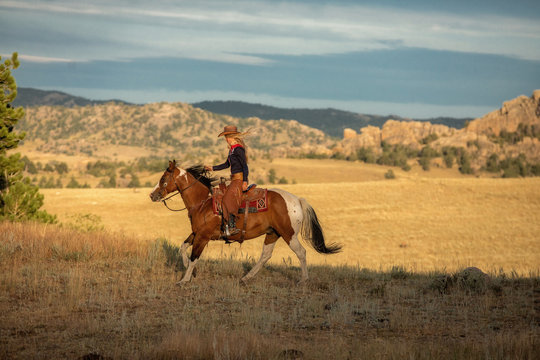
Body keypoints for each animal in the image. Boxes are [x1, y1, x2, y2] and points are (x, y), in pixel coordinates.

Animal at [149, 162, 342, 286]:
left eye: (164, 178)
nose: (152, 195)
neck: (203, 202)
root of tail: (297, 200)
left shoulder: (203, 237)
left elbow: (194, 257)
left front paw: (184, 279)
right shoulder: (196, 233)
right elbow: (182, 248)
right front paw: (190, 272)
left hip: (289, 234)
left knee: (301, 252)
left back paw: (303, 280)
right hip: (272, 233)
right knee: (265, 255)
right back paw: (246, 278)